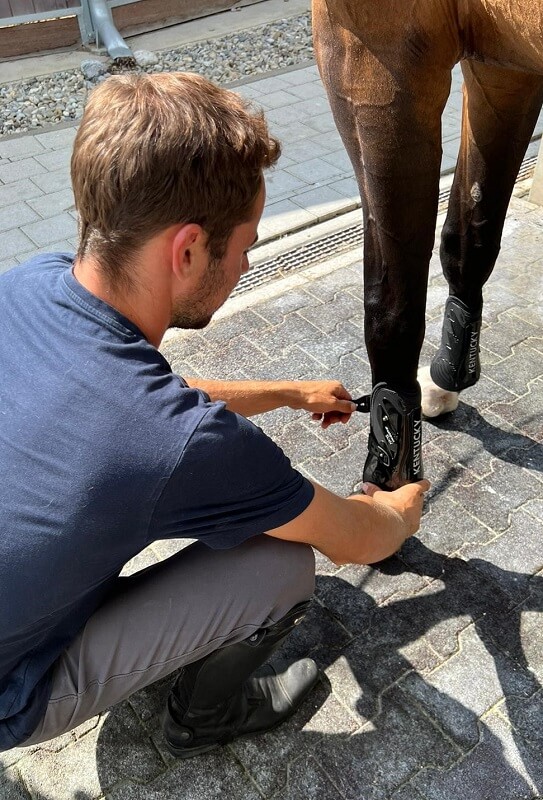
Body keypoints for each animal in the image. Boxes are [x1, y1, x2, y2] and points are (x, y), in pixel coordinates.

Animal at [312, 0, 540, 488]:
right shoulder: (504, 65)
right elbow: (471, 233)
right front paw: (446, 379)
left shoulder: (374, 61)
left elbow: (390, 311)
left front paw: (389, 482)